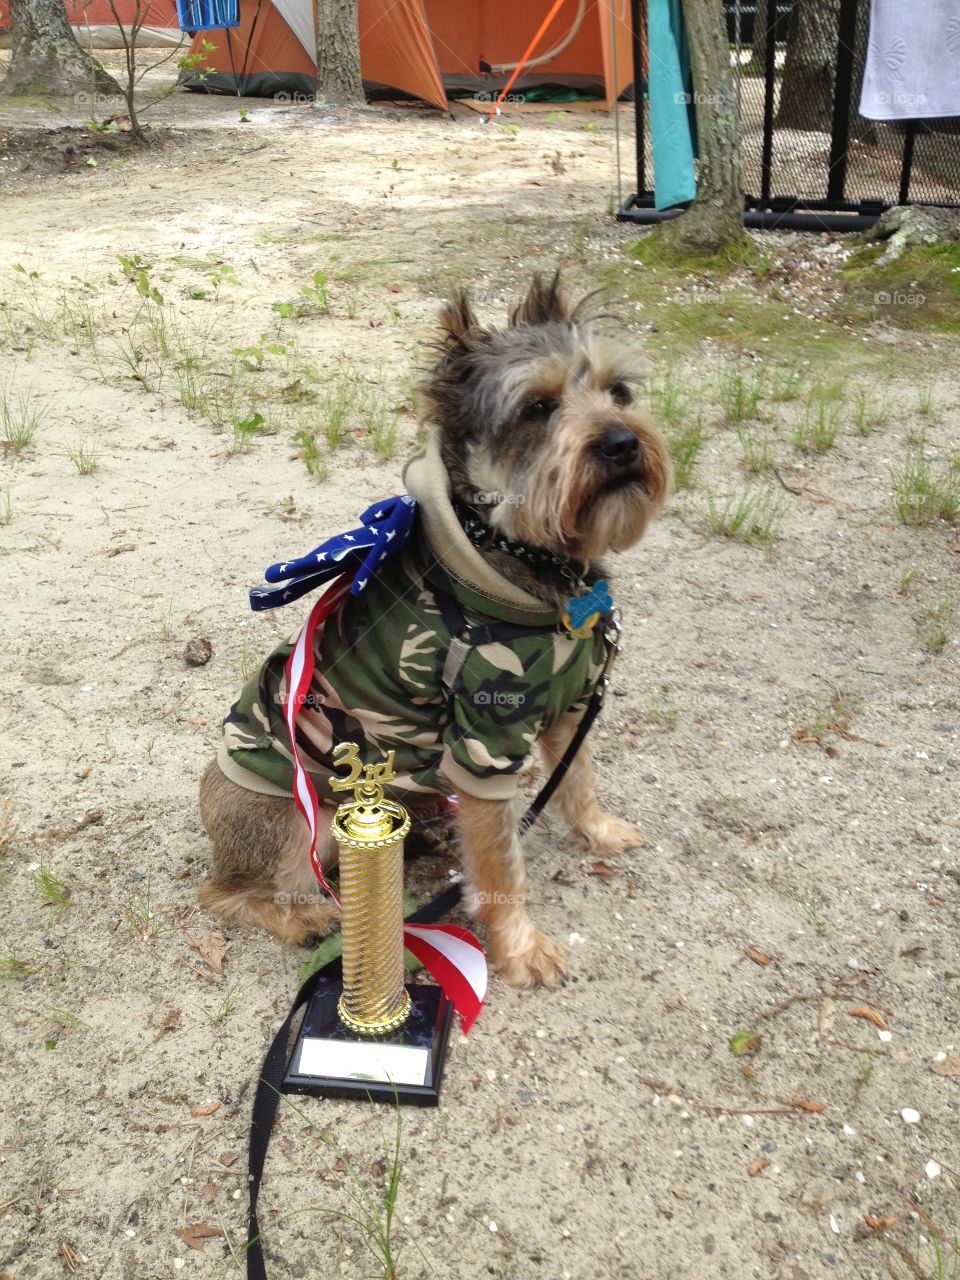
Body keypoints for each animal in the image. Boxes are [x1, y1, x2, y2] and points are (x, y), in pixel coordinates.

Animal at [199, 272, 670, 988]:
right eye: (537, 408)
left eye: (619, 392)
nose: (623, 443)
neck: (529, 564)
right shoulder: (485, 749)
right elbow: (502, 866)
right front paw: (520, 948)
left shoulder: (571, 709)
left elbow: (579, 779)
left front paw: (598, 830)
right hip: (296, 824)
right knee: (224, 892)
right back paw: (303, 916)